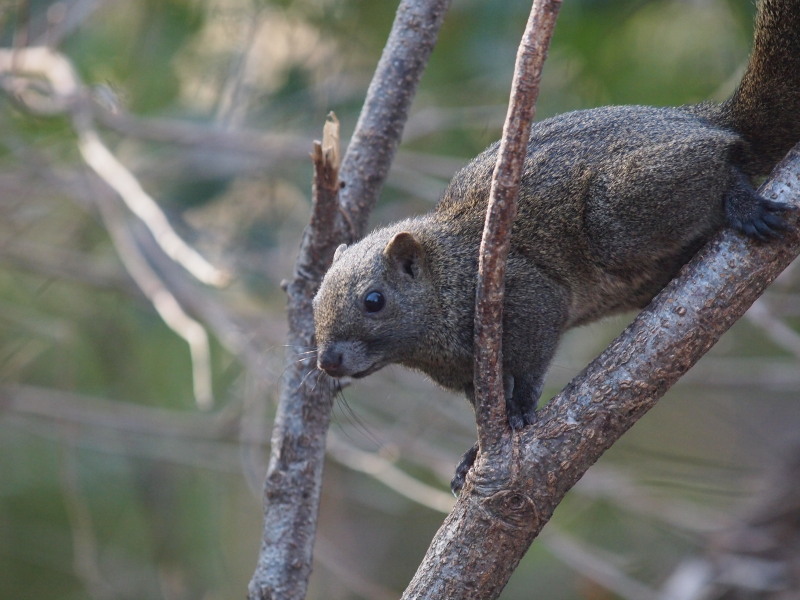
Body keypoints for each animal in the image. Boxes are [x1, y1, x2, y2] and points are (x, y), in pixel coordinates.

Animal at [310, 0, 800, 492]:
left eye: (374, 301)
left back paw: (741, 199)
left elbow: (529, 367)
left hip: (620, 214)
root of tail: (703, 119)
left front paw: (522, 413)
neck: (447, 277)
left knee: (725, 158)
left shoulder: (527, 295)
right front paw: (472, 456)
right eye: (312, 304)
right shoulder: (466, 375)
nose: (328, 361)